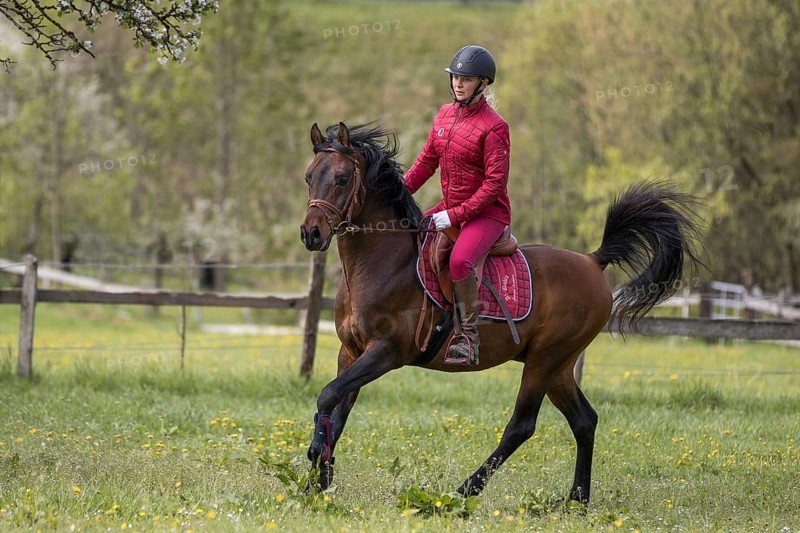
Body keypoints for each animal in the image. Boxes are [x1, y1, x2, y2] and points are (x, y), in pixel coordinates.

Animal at [299, 121, 702, 505]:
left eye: (342, 178)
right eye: (308, 176)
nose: (310, 234)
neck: (383, 262)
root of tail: (592, 261)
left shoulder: (386, 353)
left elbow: (327, 397)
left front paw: (316, 462)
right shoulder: (351, 351)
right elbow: (337, 409)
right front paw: (318, 480)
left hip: (544, 360)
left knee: (521, 426)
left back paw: (463, 491)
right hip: (558, 367)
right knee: (585, 421)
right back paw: (576, 499)